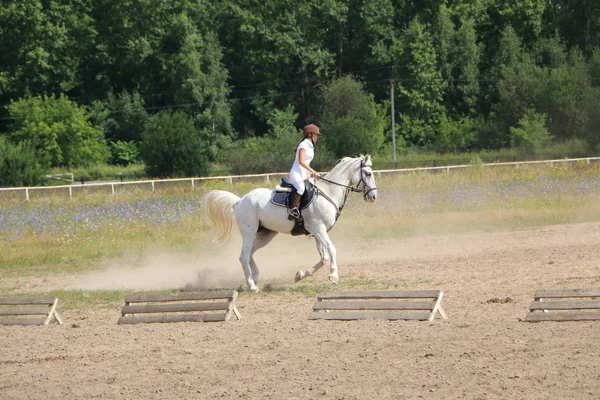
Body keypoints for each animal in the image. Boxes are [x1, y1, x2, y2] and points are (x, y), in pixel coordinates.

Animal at [204, 154, 378, 290]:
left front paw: (300, 275)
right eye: (368, 173)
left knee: (251, 253)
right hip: (248, 232)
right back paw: (252, 285)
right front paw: (334, 275)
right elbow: (332, 249)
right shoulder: (319, 229)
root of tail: (240, 200)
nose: (373, 197)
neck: (328, 192)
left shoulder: (317, 232)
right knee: (244, 256)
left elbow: (323, 258)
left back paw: (256, 277)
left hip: (266, 234)